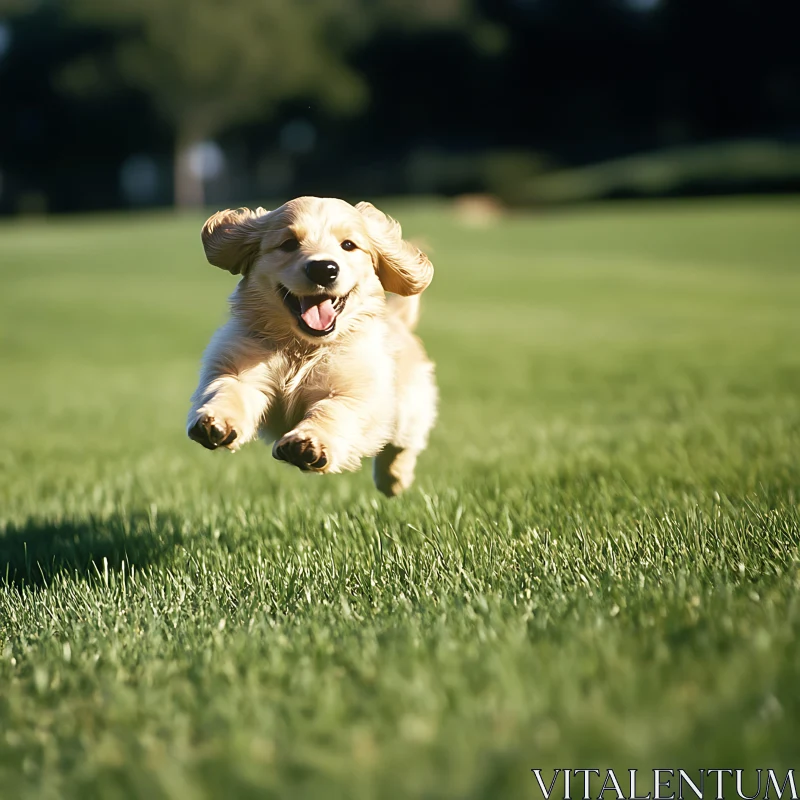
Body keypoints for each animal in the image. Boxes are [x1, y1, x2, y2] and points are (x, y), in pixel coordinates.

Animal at [186, 195, 438, 494]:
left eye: (348, 245)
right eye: (289, 244)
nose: (323, 269)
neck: (302, 347)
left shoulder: (356, 391)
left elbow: (333, 411)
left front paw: (308, 444)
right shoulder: (237, 364)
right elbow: (230, 390)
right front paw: (216, 422)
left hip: (411, 406)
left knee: (403, 443)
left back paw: (394, 479)